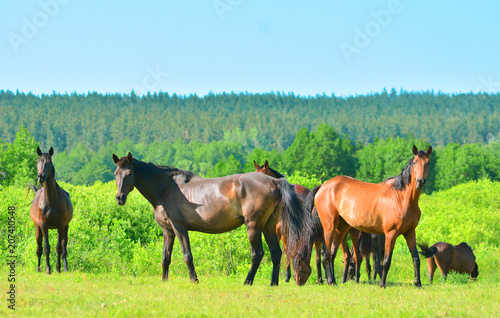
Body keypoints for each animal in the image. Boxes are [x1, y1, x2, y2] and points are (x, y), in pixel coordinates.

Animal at [113, 153, 314, 286]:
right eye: (116, 173)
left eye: (129, 173)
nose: (119, 198)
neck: (167, 188)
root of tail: (274, 182)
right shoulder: (168, 230)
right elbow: (166, 257)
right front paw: (164, 281)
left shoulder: (179, 228)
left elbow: (187, 255)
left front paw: (194, 280)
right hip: (268, 226)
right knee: (276, 253)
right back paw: (273, 284)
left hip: (254, 226)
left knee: (258, 254)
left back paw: (247, 282)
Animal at [302, 145, 432, 286]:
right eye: (415, 163)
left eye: (428, 163)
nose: (420, 181)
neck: (401, 198)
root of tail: (323, 187)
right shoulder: (390, 233)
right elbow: (386, 261)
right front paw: (382, 284)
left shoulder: (410, 232)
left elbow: (416, 258)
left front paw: (418, 284)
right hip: (329, 227)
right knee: (325, 255)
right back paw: (331, 281)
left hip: (341, 228)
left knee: (332, 254)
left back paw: (335, 281)